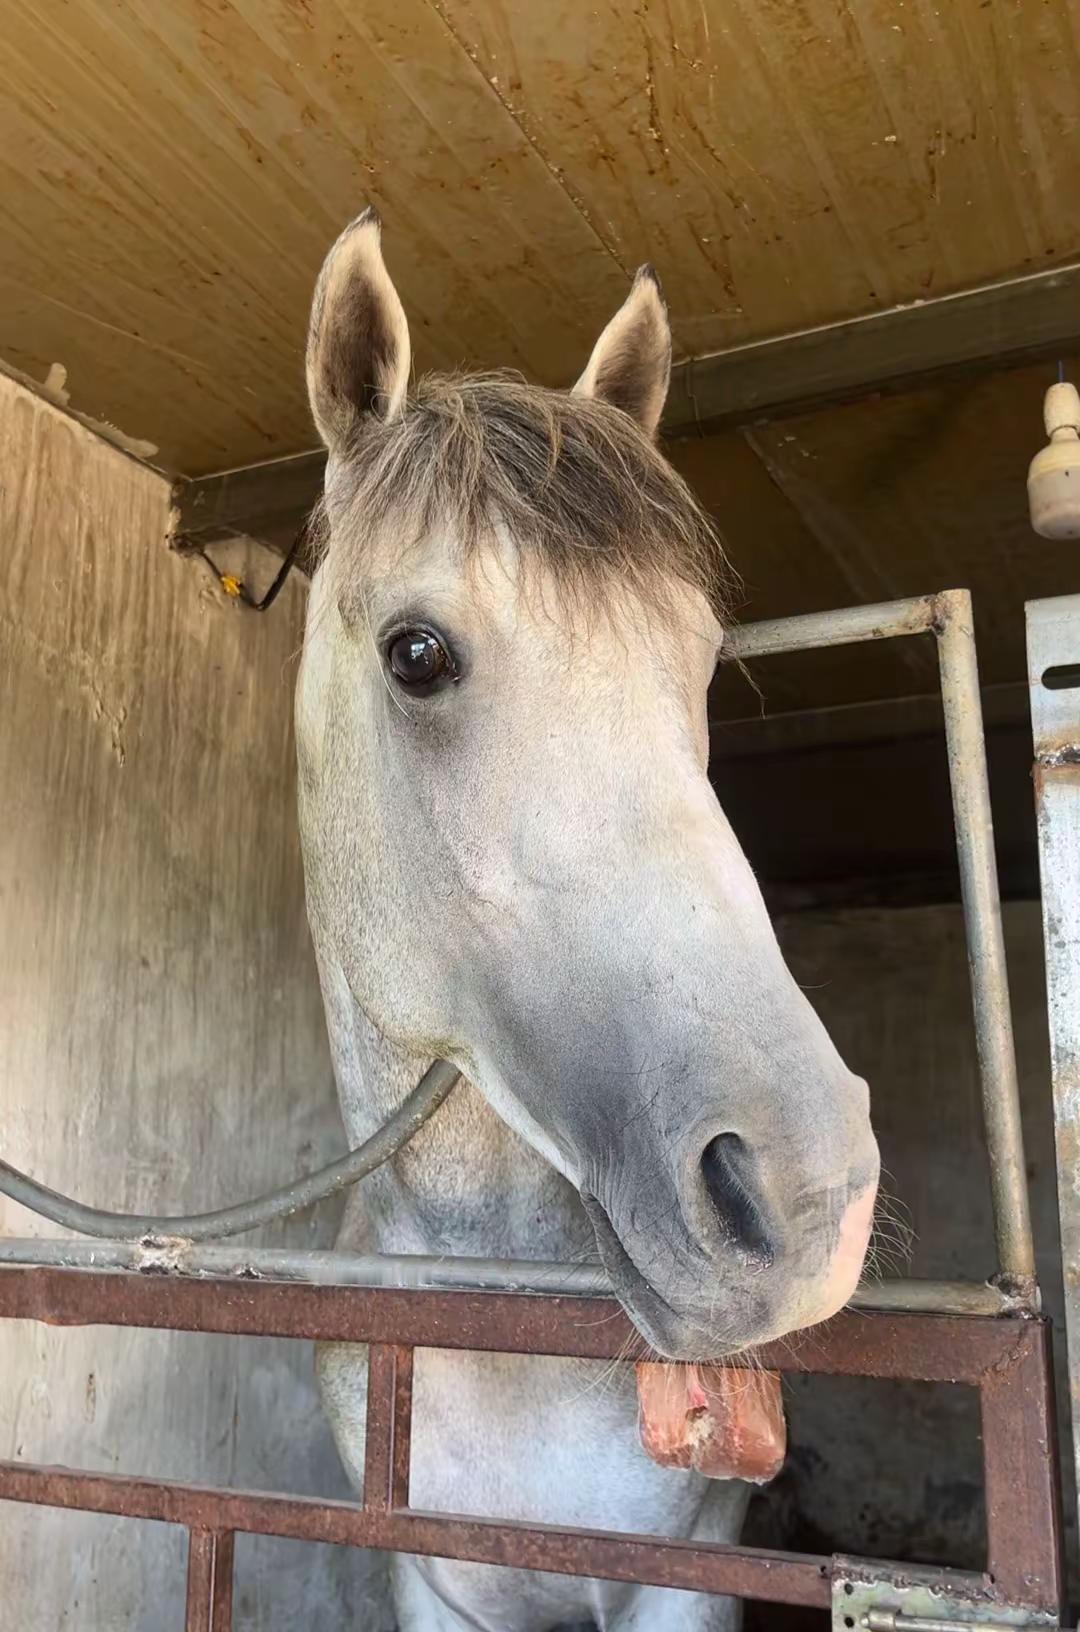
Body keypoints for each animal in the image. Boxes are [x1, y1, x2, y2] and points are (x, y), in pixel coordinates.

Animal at [295, 209, 880, 1632]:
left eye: (697, 660)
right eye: (416, 655)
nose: (809, 1194)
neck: (486, 1307)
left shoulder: (684, 1577)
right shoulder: (430, 1587)